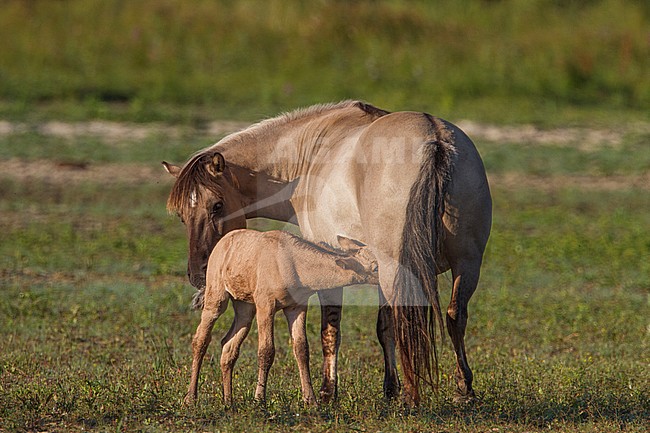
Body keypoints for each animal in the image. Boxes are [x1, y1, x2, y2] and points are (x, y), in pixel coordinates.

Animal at [163, 100, 492, 405]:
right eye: (181, 214)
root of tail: (435, 141)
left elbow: (329, 331)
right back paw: (463, 389)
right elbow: (384, 327)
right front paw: (389, 389)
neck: (308, 157)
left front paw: (326, 392)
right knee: (454, 316)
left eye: (217, 205)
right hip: (465, 265)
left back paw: (413, 396)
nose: (198, 274)